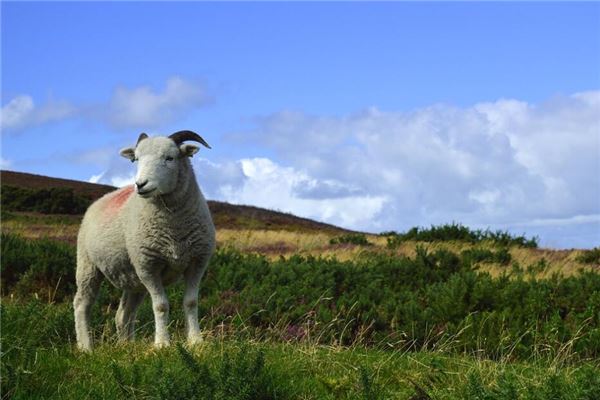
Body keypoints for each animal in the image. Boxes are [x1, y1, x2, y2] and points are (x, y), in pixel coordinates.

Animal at [73, 130, 216, 350]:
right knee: (81, 304)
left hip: (133, 279)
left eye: (170, 158)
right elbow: (161, 305)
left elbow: (191, 302)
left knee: (122, 314)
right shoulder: (148, 266)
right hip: (88, 265)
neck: (174, 227)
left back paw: (127, 346)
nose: (140, 185)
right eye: (137, 159)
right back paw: (86, 347)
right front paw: (162, 344)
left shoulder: (197, 262)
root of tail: (101, 199)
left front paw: (195, 341)